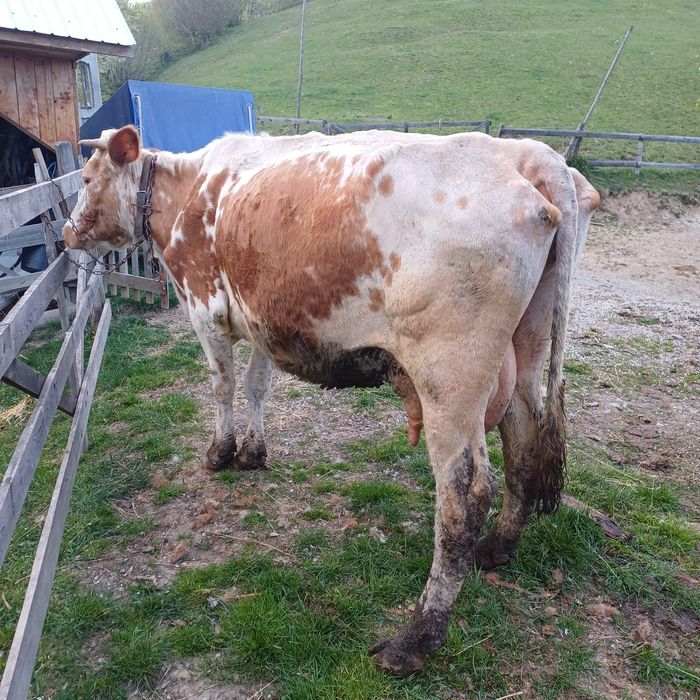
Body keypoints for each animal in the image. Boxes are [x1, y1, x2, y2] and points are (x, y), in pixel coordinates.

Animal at [63, 125, 598, 676]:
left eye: (87, 178)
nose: (65, 233)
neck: (191, 186)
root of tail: (530, 155)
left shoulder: (205, 307)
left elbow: (223, 385)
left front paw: (220, 452)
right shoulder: (262, 319)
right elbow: (256, 384)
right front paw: (253, 452)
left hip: (451, 376)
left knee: (465, 495)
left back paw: (416, 637)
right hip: (525, 349)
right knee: (524, 441)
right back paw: (497, 547)